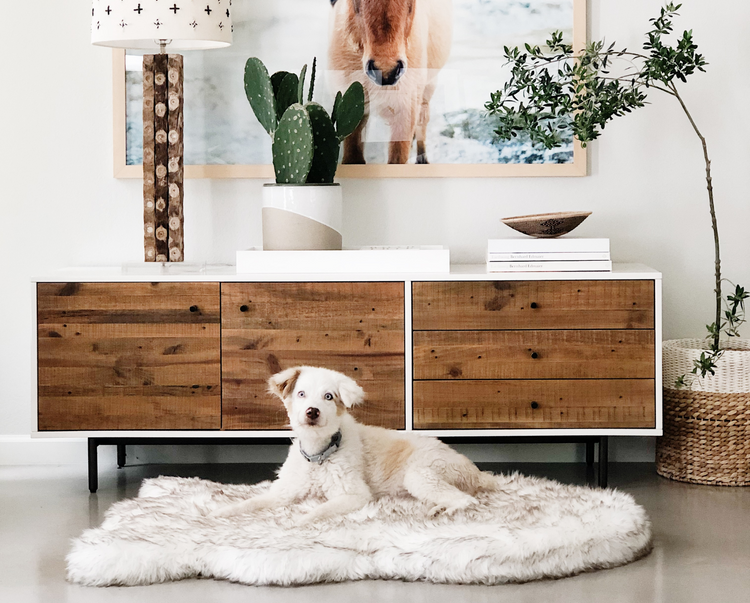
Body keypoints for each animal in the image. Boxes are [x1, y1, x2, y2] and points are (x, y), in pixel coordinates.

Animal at [214, 366, 500, 520]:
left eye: (329, 397)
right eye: (301, 394)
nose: (312, 412)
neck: (318, 456)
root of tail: (478, 473)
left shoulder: (355, 495)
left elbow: (319, 510)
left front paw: (296, 523)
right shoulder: (282, 492)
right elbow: (250, 503)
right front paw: (219, 514)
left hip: (422, 473)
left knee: (467, 501)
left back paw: (445, 512)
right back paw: (437, 507)